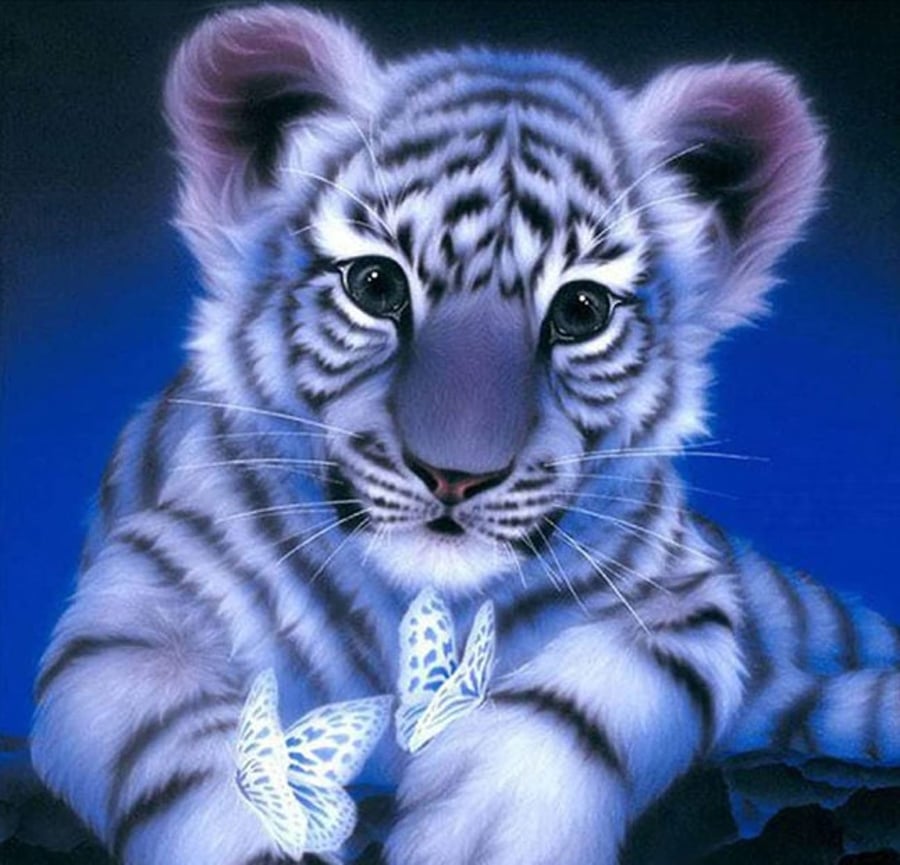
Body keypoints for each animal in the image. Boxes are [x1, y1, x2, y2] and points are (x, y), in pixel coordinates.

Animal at [30, 4, 900, 865]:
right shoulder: (133, 615)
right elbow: (206, 754)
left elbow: (579, 699)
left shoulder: (684, 597)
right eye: (374, 284)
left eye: (581, 309)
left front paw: (486, 830)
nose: (455, 475)